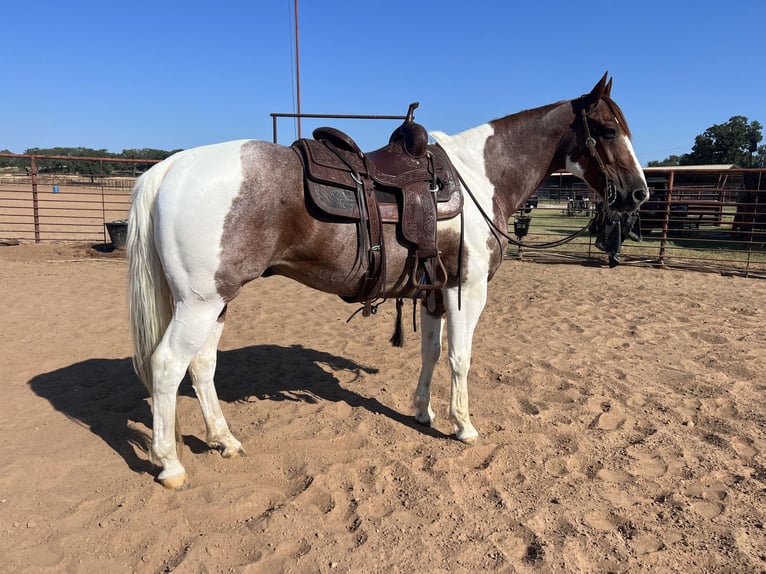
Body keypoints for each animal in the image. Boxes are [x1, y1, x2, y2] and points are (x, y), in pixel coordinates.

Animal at [129, 73, 652, 490]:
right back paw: (170, 464)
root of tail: (171, 166)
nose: (639, 193)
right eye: (608, 129)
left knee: (202, 365)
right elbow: (460, 358)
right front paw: (463, 425)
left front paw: (423, 411)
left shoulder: (433, 291)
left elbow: (431, 353)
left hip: (217, 300)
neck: (478, 178)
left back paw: (224, 439)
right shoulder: (466, 289)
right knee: (168, 364)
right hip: (200, 301)